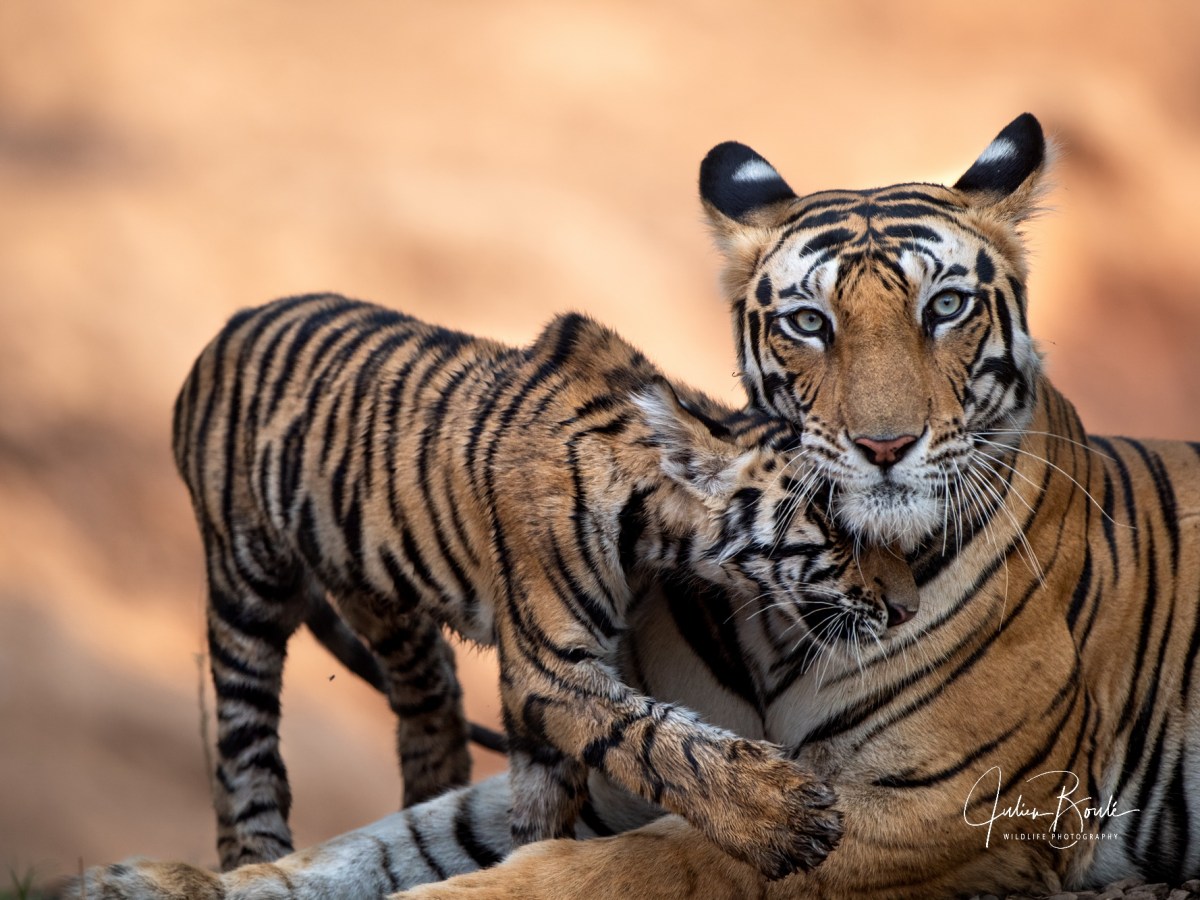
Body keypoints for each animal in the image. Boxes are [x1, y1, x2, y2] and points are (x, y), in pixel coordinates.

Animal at [167, 294, 918, 881]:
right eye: (835, 523)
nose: (907, 609)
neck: (655, 527)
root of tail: (232, 323)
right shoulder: (549, 668)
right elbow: (660, 738)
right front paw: (786, 819)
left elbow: (545, 797)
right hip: (246, 584)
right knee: (245, 749)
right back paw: (253, 854)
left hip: (376, 586)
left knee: (428, 696)